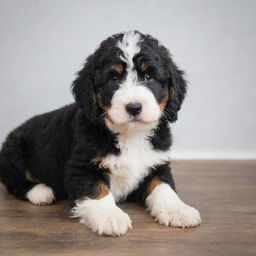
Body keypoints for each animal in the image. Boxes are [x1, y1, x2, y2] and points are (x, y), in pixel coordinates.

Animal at [0, 31, 202, 236]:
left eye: (148, 76)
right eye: (114, 79)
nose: (134, 107)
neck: (130, 135)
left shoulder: (157, 163)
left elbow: (163, 186)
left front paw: (178, 210)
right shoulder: (80, 166)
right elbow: (97, 190)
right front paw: (109, 216)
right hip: (15, 151)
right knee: (15, 182)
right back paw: (41, 192)